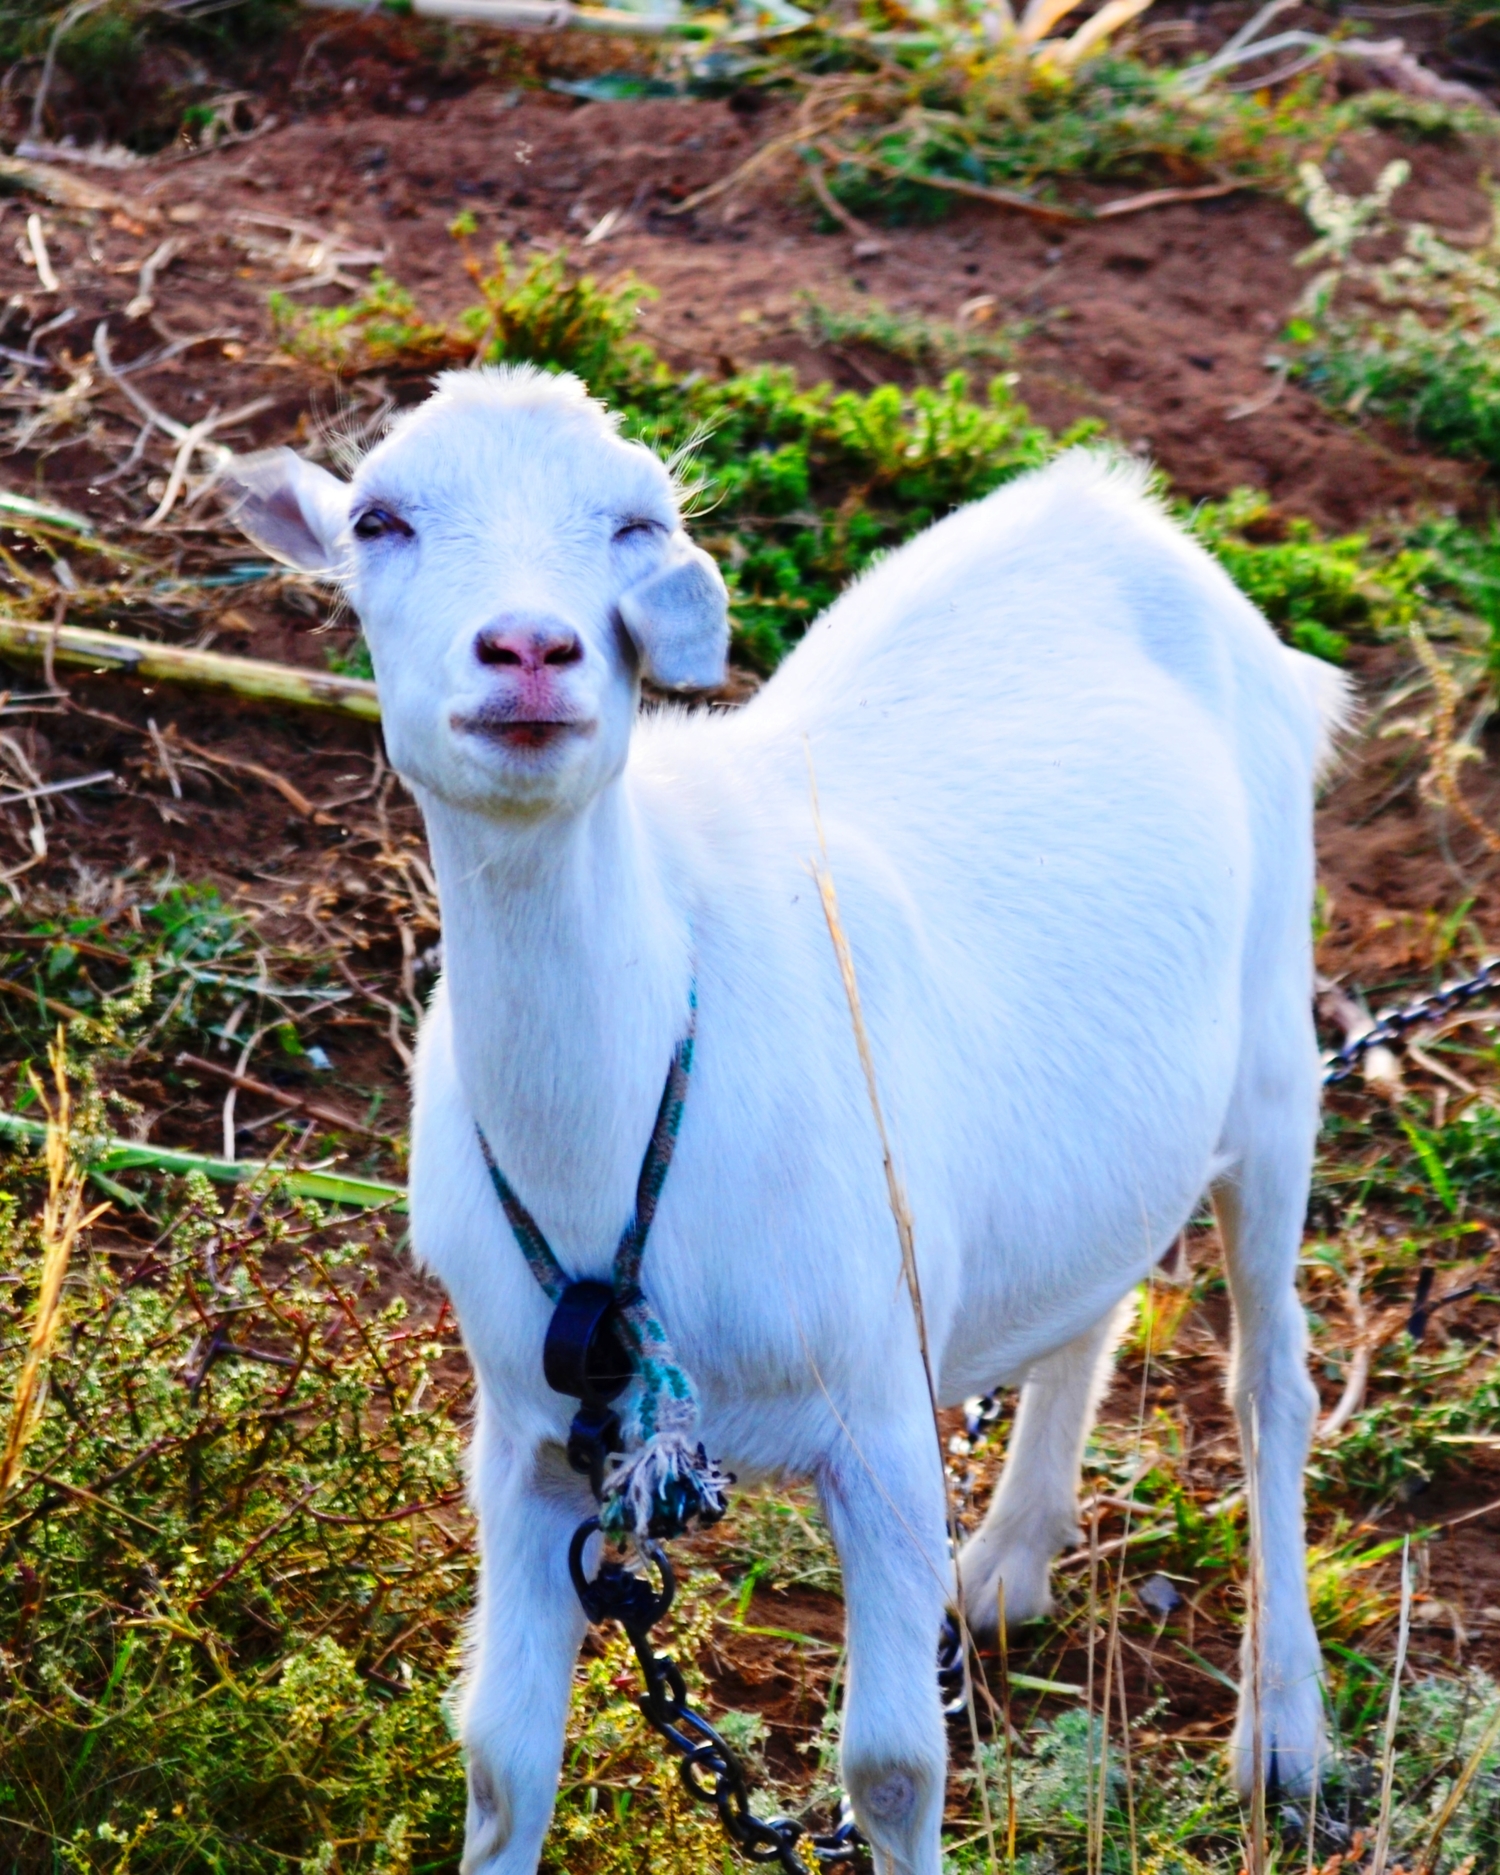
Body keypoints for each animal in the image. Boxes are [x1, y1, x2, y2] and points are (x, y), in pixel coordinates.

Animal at [231, 365, 1350, 1875]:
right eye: (379, 520)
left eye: (639, 520)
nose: (530, 650)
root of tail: (1112, 508)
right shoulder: (526, 1446)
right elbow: (502, 1762)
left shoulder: (880, 1413)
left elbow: (891, 1767)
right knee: (1098, 1287)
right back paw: (1012, 1557)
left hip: (1279, 1050)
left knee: (1272, 1379)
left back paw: (1283, 1739)